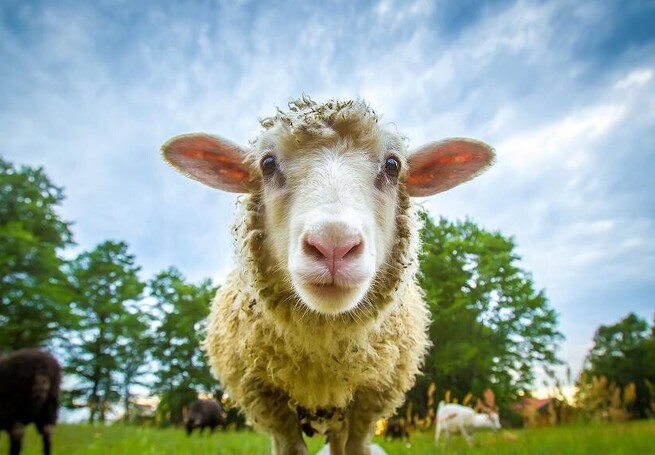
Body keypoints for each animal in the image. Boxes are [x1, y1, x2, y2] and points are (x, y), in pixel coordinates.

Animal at [161, 96, 495, 455]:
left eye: (393, 165)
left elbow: (356, 447)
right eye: (267, 164)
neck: (322, 354)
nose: (333, 244)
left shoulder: (371, 398)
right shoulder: (267, 401)